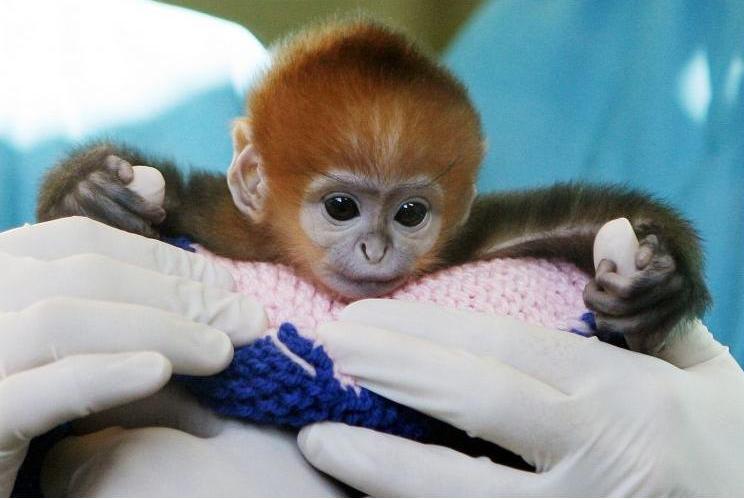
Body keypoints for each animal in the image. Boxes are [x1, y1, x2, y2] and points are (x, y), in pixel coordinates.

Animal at [37, 20, 709, 355]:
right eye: (342, 207)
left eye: (410, 213)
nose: (376, 250)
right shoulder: (226, 222)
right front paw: (88, 192)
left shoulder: (471, 241)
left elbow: (555, 219)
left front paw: (661, 284)